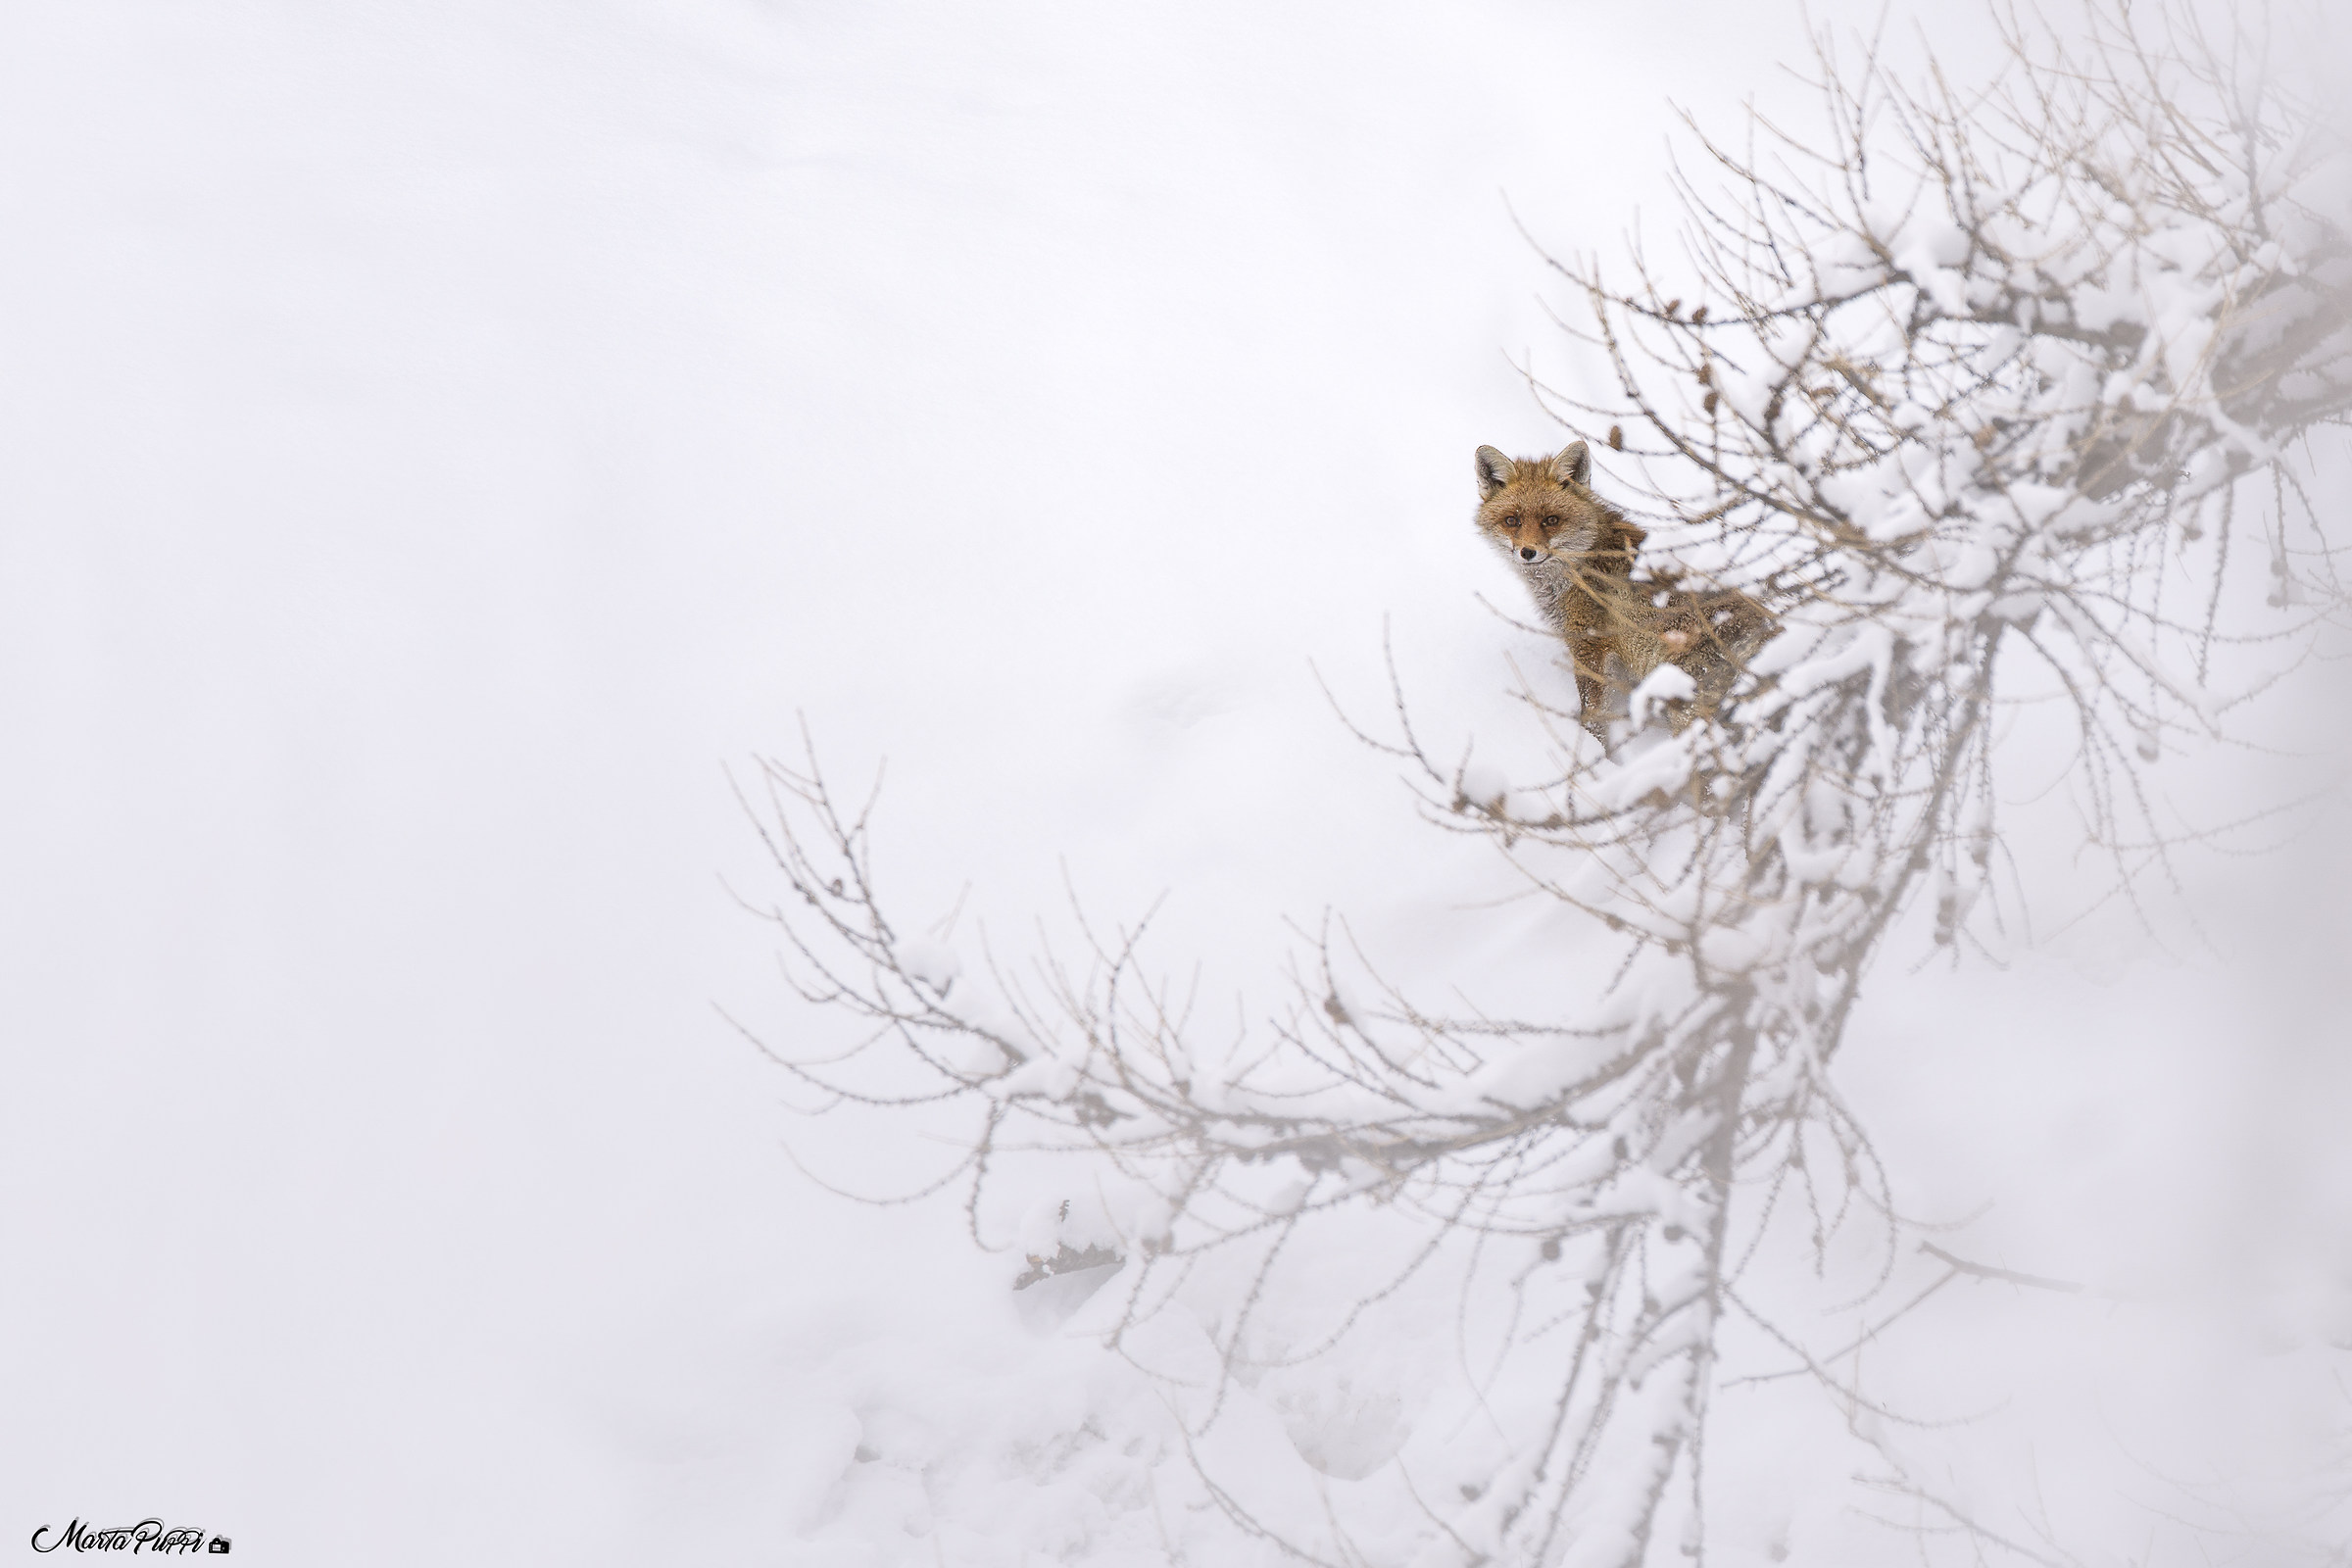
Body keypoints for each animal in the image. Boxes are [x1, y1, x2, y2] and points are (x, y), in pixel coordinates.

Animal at [1473, 440, 1774, 739]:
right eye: (1512, 521)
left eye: (1551, 520)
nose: (1528, 552)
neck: (1581, 563)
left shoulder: (1590, 645)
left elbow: (1593, 716)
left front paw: (1591, 748)